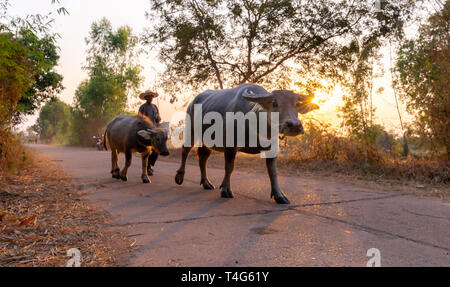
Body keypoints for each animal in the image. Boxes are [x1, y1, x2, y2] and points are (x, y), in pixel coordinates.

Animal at [174, 83, 318, 205]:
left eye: (296, 104)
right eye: (274, 102)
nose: (294, 125)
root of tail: (193, 102)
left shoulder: (272, 149)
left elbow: (273, 172)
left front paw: (279, 195)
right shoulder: (230, 146)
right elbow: (229, 167)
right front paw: (226, 190)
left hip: (207, 141)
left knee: (203, 158)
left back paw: (206, 183)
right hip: (191, 130)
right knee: (185, 151)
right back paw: (180, 176)